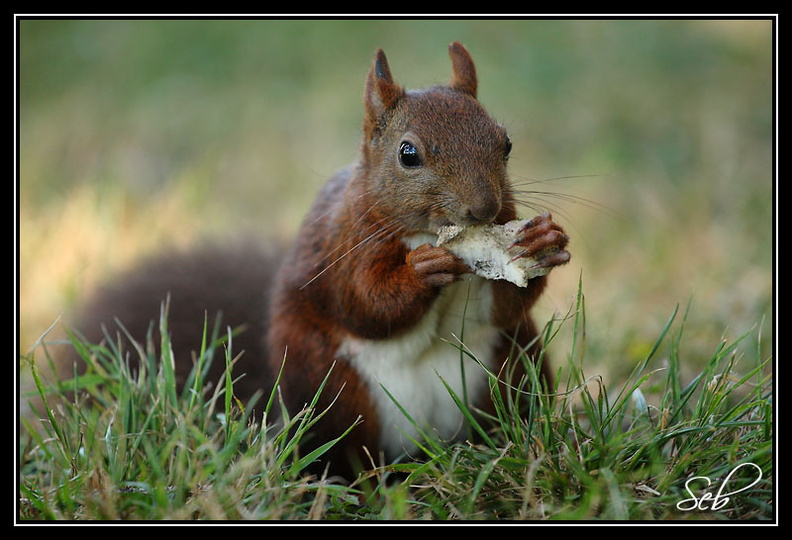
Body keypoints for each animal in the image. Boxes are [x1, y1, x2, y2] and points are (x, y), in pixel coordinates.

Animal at [68, 44, 568, 478]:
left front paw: (542, 241)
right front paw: (421, 272)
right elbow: (365, 305)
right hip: (330, 388)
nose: (484, 209)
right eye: (408, 154)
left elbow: (502, 306)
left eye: (505, 143)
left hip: (514, 364)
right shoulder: (343, 247)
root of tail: (426, 448)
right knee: (346, 453)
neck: (428, 233)